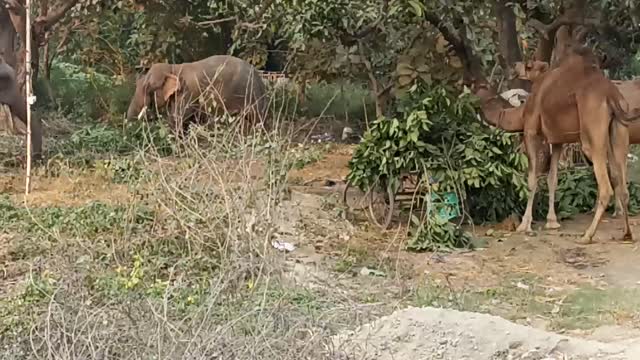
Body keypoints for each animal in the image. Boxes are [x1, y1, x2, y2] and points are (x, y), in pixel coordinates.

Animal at [126, 54, 268, 135]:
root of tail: (259, 78)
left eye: (148, 88)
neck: (173, 68)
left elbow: (176, 119)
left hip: (251, 95)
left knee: (257, 120)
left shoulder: (187, 93)